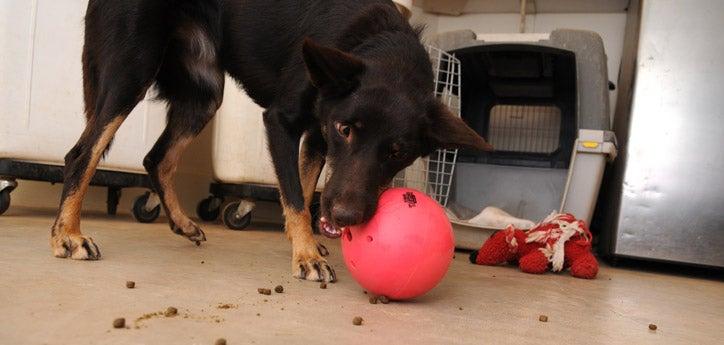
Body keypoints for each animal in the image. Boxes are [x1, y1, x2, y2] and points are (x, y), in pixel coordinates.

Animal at [49, 0, 492, 282]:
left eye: (398, 152)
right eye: (345, 130)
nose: (346, 217)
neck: (378, 42)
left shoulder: (315, 136)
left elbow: (308, 188)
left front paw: (306, 243)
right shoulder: (282, 121)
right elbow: (295, 195)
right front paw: (307, 255)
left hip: (203, 93)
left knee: (156, 158)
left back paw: (181, 222)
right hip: (131, 74)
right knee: (80, 154)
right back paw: (68, 235)